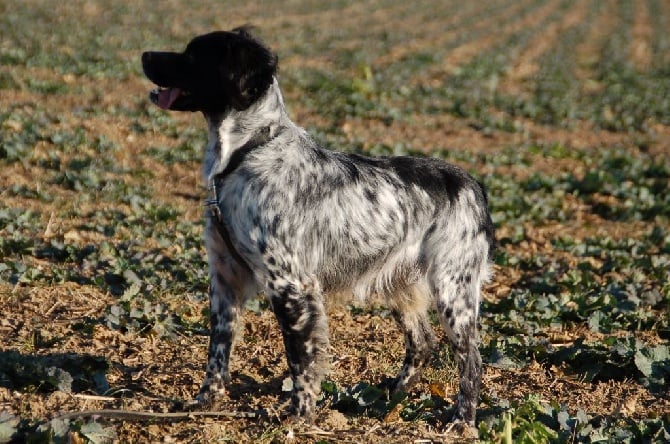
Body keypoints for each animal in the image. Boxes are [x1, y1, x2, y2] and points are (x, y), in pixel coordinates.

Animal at [143, 27, 498, 426]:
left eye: (193, 54)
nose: (144, 55)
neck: (245, 153)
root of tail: (473, 185)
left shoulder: (291, 284)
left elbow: (301, 358)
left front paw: (299, 414)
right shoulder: (225, 277)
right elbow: (217, 351)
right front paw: (205, 402)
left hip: (453, 290)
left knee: (471, 360)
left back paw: (461, 421)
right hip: (399, 285)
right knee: (422, 343)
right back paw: (388, 400)